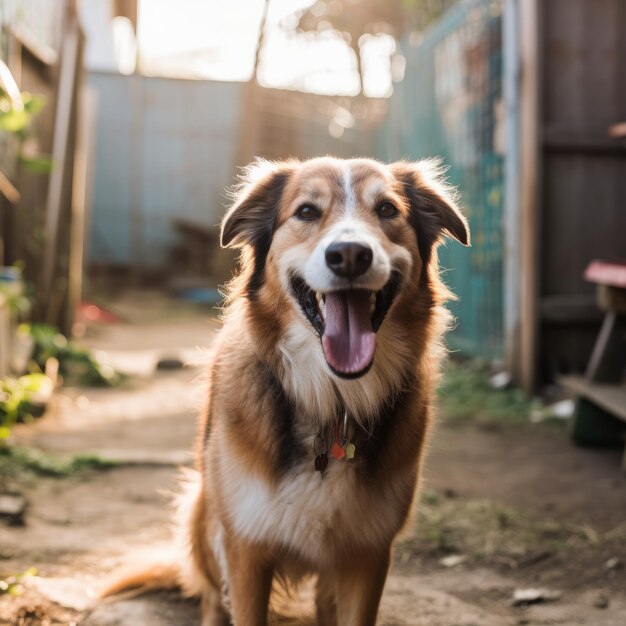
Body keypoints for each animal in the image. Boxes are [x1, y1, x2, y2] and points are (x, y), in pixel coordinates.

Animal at [101, 157, 468, 624]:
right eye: (307, 212)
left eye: (387, 210)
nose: (350, 255)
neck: (333, 401)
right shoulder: (245, 549)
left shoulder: (368, 556)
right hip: (203, 512)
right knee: (210, 597)